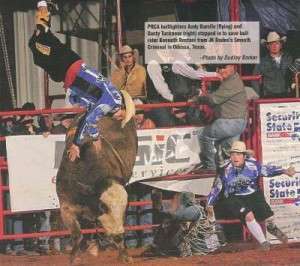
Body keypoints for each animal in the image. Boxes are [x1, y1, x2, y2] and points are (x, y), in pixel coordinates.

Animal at [55, 92, 137, 264]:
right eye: (103, 207)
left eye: (125, 205)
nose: (119, 234)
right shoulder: (66, 206)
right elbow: (77, 235)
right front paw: (74, 257)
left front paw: (124, 255)